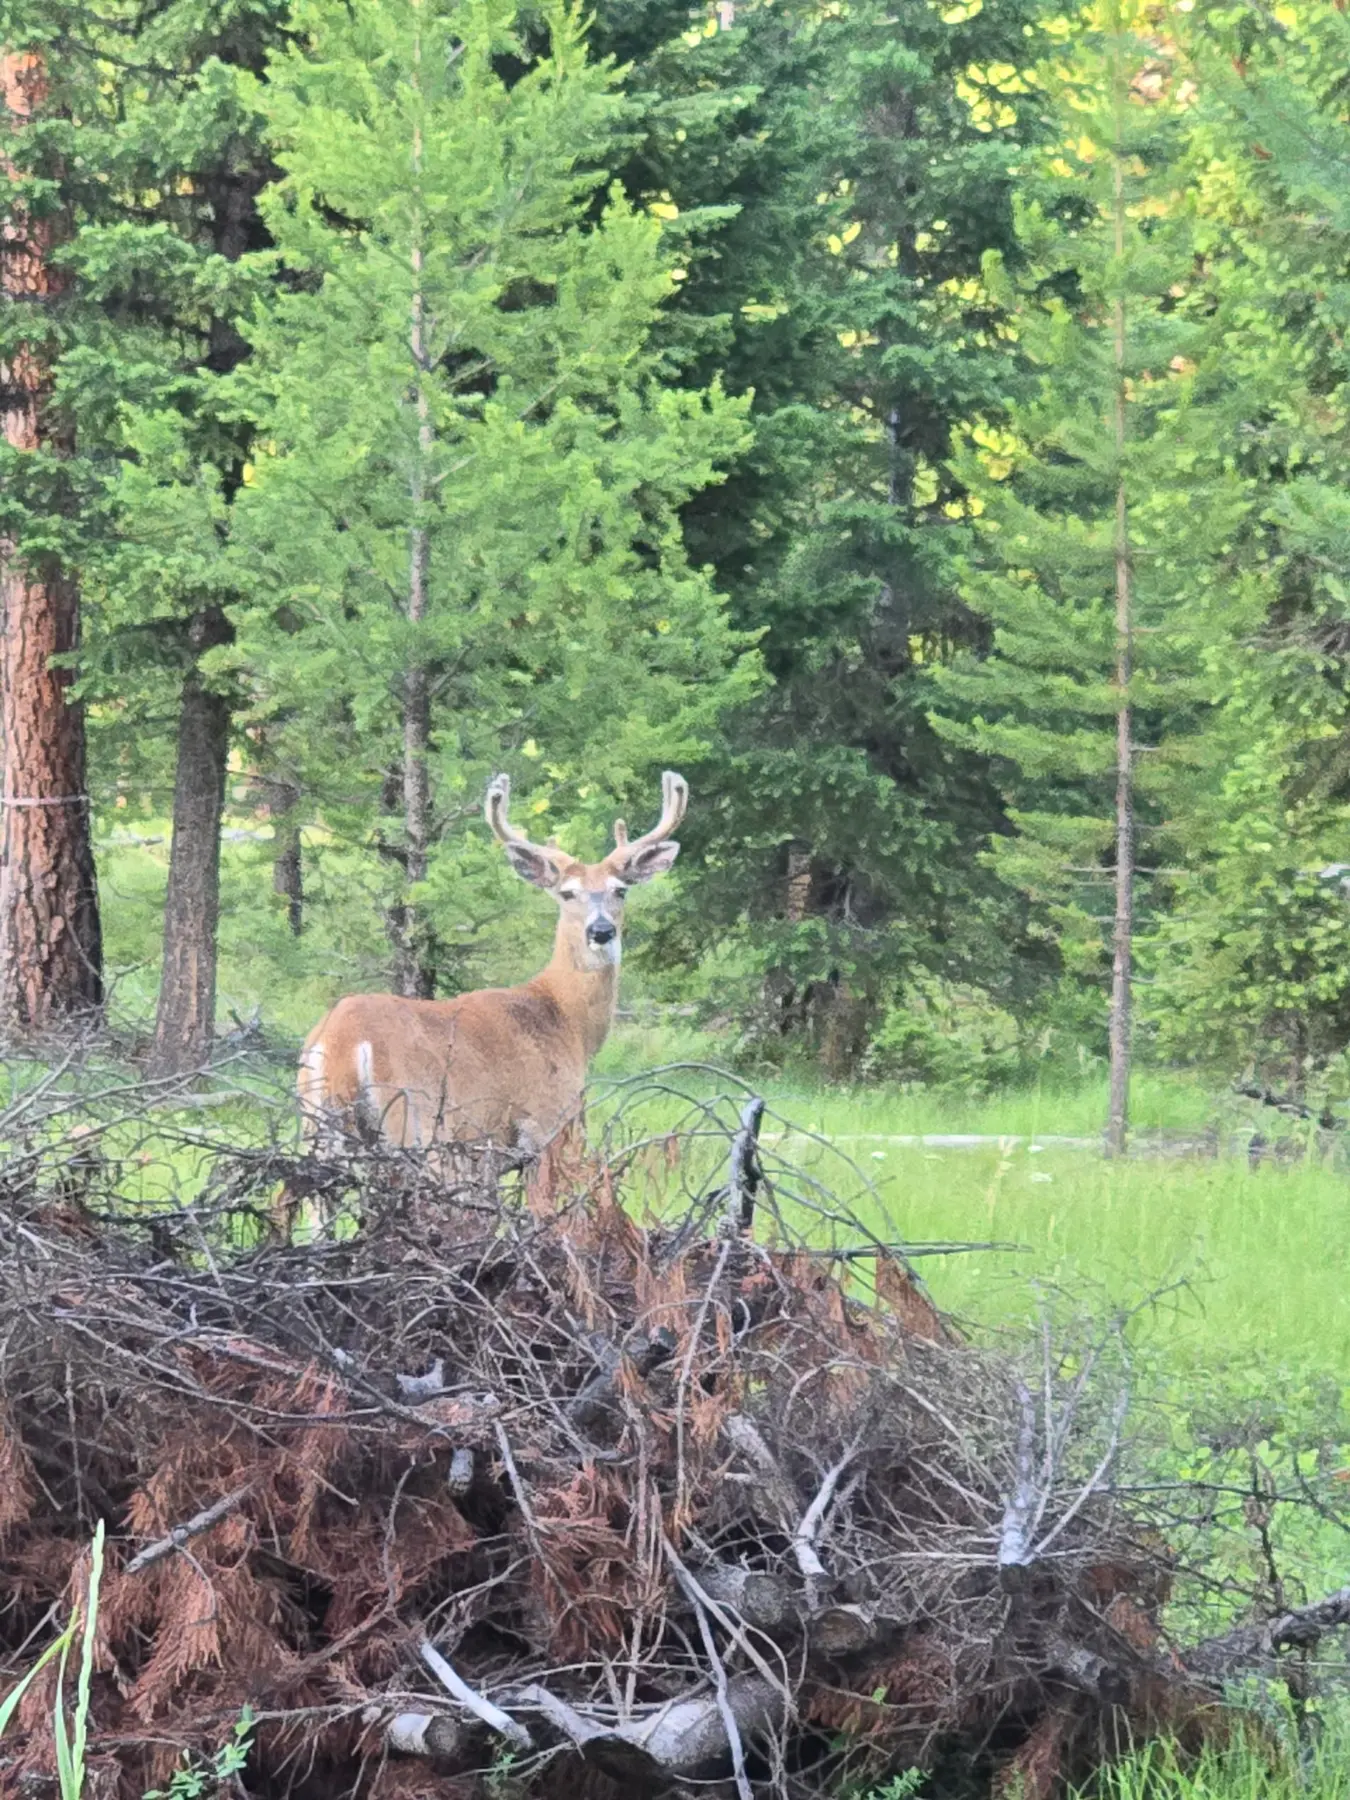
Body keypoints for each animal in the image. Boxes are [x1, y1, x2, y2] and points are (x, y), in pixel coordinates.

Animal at [295, 770, 687, 1171]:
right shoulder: (547, 1124)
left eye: (620, 890)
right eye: (567, 893)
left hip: (319, 1127)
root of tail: (341, 1040)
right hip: (418, 1125)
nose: (602, 931)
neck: (566, 1020)